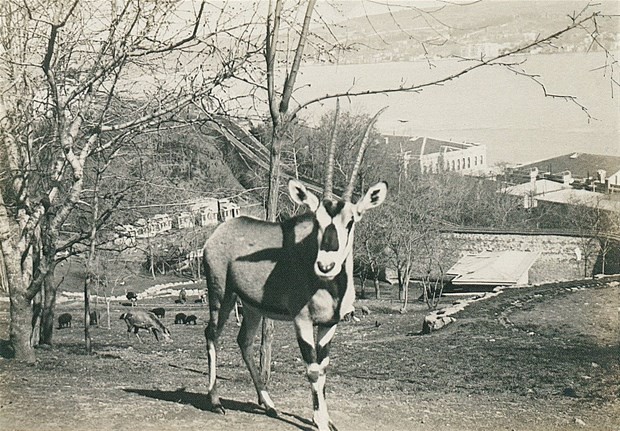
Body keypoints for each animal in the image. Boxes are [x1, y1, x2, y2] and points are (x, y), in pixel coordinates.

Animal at [203, 131, 388, 431]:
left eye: (350, 222)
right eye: (317, 220)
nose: (325, 265)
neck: (330, 285)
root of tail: (220, 231)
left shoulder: (329, 323)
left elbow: (323, 367)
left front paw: (326, 419)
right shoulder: (302, 319)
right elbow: (312, 369)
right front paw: (320, 422)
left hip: (252, 307)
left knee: (244, 341)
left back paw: (268, 404)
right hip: (221, 294)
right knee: (212, 334)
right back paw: (216, 401)